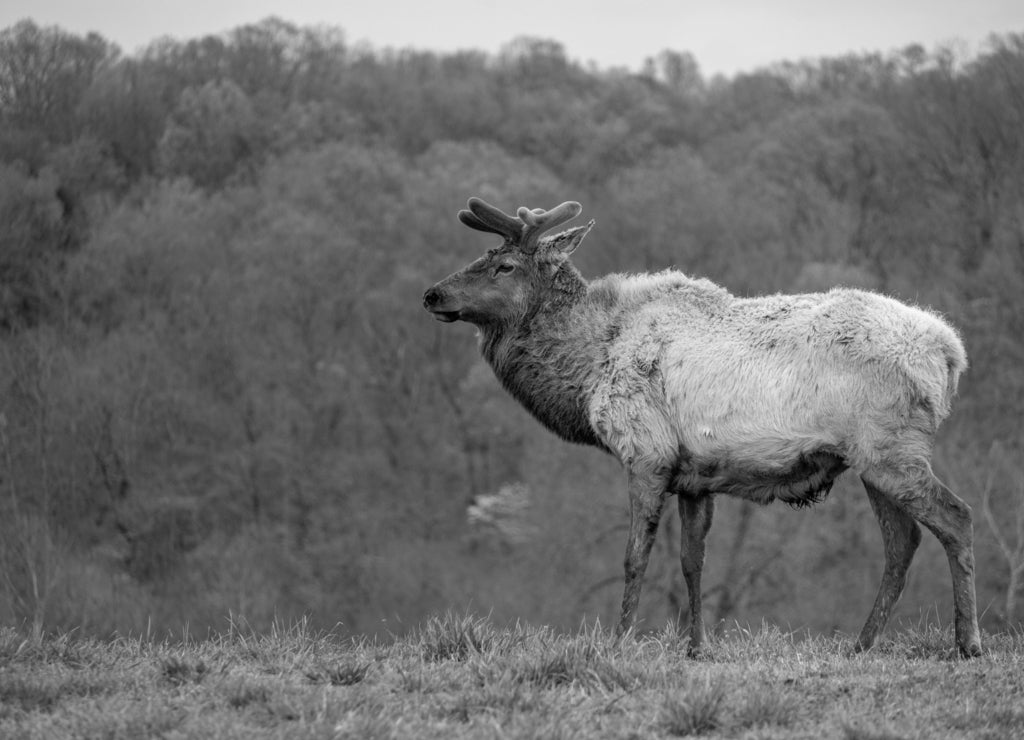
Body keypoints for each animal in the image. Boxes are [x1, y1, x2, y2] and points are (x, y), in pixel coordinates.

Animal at [422, 197, 981, 658]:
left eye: (504, 265)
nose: (432, 294)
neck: (588, 368)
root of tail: (950, 352)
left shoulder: (645, 453)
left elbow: (635, 557)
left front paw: (620, 642)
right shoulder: (695, 476)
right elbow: (694, 561)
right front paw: (695, 647)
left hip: (890, 448)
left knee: (956, 516)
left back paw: (967, 642)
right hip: (871, 459)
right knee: (903, 543)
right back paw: (862, 644)